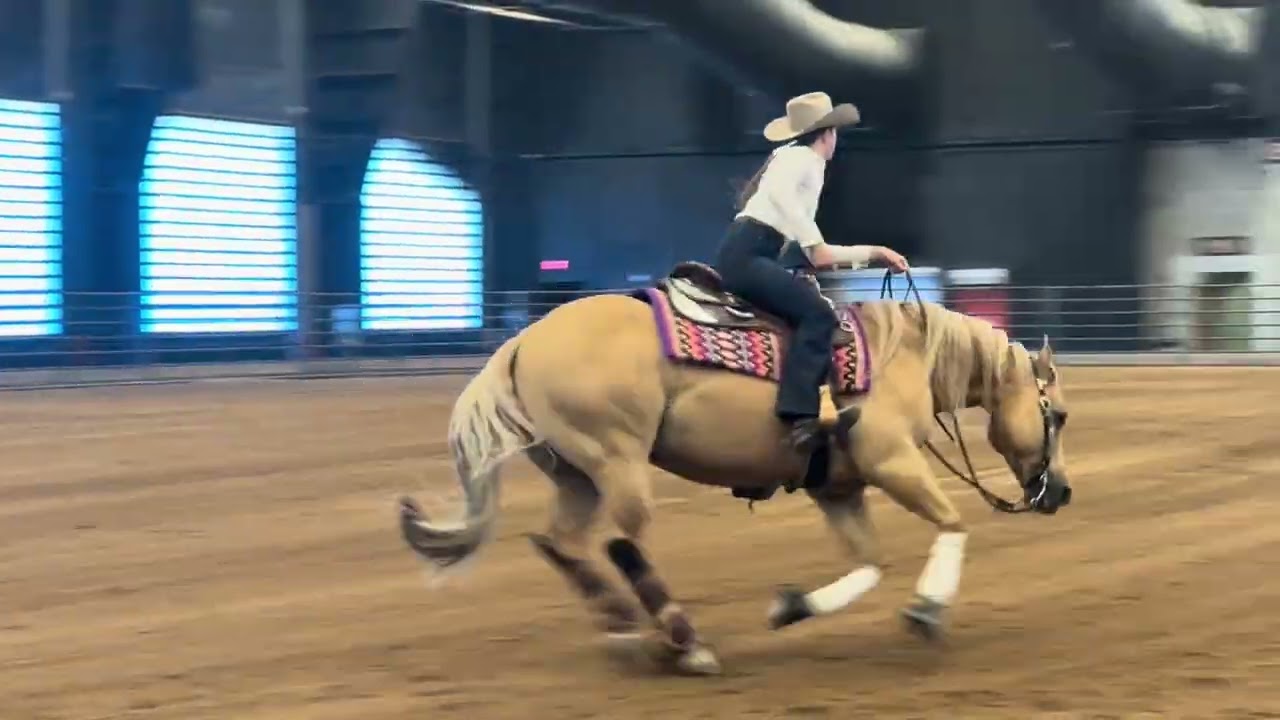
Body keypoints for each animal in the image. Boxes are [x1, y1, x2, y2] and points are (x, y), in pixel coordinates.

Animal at [396, 262, 1073, 676]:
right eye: (1060, 415)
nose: (1061, 492)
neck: (898, 356)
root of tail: (521, 342)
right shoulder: (892, 462)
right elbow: (953, 524)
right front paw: (928, 610)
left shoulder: (839, 488)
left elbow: (868, 565)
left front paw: (792, 607)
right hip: (615, 458)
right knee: (620, 542)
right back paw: (686, 642)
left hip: (574, 472)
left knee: (561, 542)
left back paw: (622, 630)